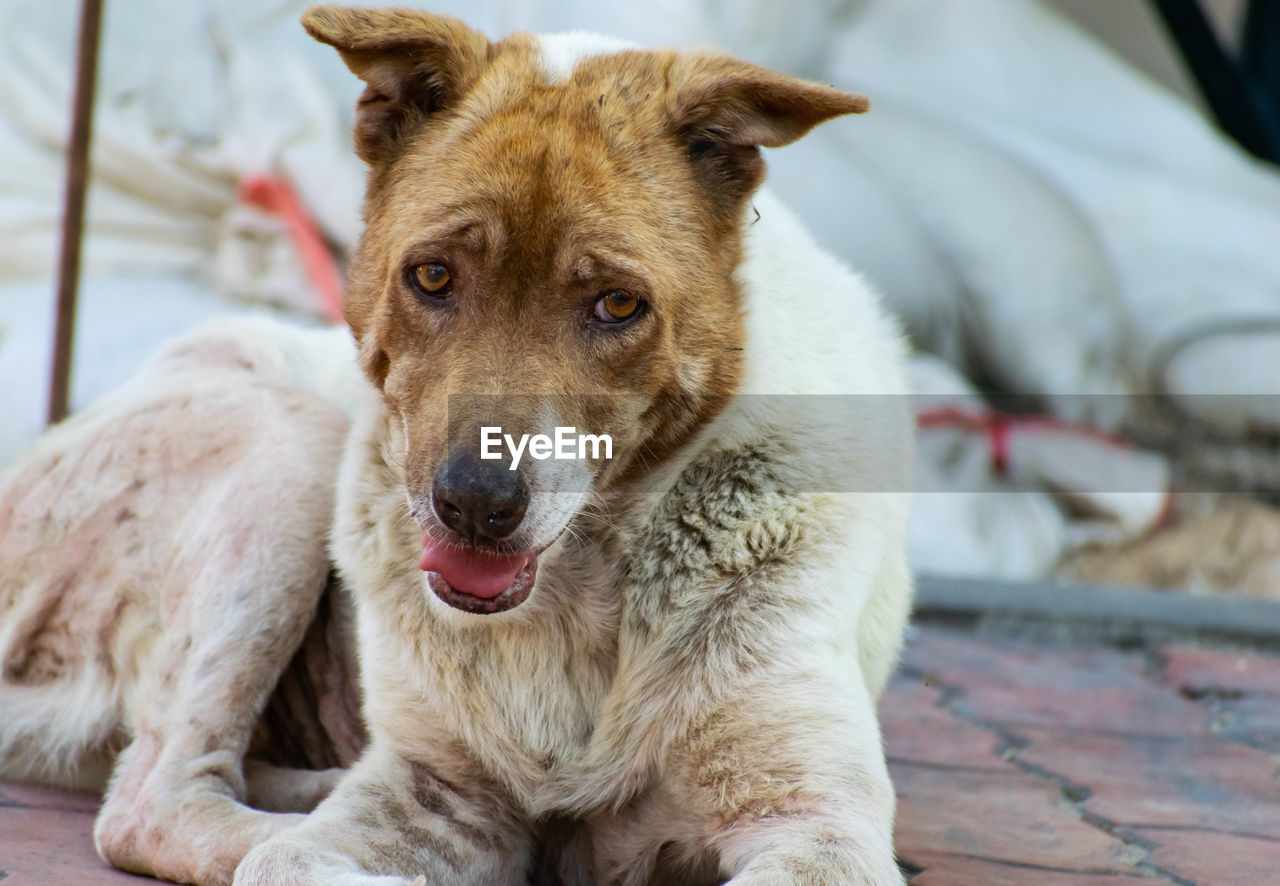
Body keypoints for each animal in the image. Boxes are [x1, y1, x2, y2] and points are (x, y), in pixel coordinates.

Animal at [2, 8, 921, 886]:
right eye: (434, 276)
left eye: (619, 304)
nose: (476, 505)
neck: (578, 598)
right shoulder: (435, 790)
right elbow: (285, 863)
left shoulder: (813, 823)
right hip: (290, 444)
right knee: (151, 803)